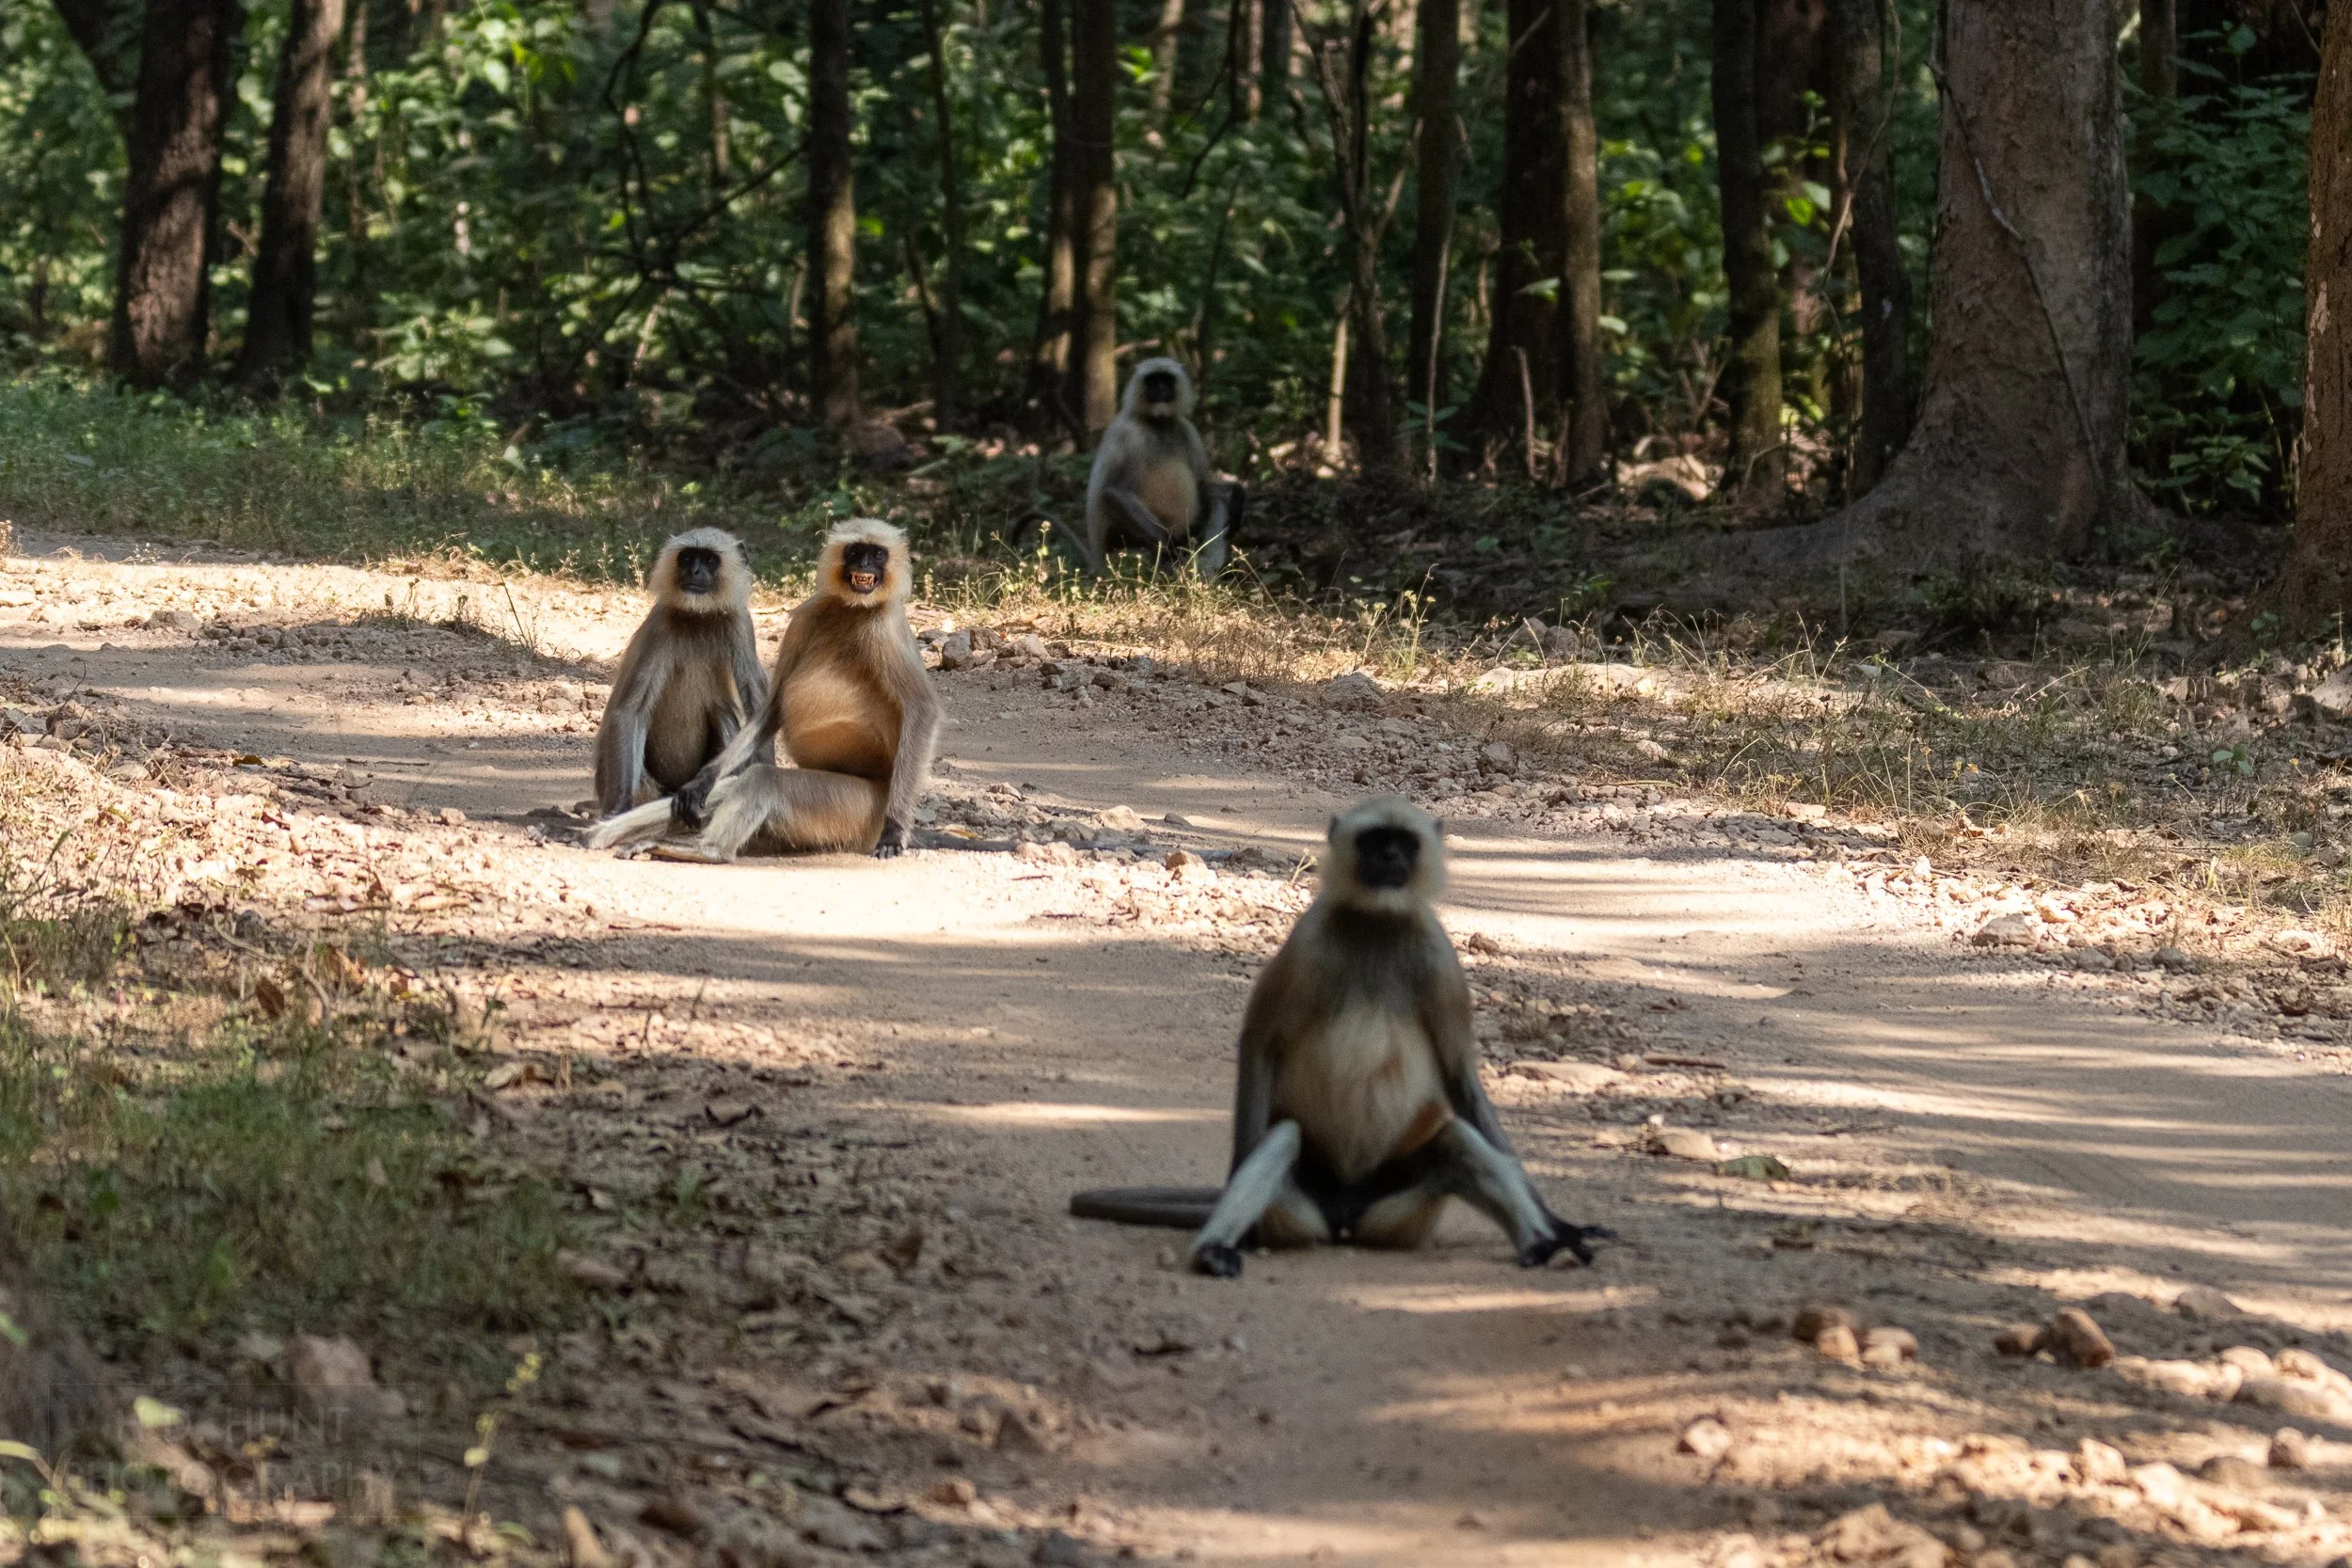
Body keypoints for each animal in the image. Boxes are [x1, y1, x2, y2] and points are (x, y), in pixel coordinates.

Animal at [591, 528, 769, 819]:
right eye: (687, 558)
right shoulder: (660, 624)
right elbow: (629, 711)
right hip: (646, 786)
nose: (694, 571)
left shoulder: (741, 622)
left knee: (721, 712)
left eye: (709, 560)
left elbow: (756, 704)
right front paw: (619, 807)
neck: (698, 616)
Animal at [1069, 797, 1609, 1278]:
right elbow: (1259, 1041)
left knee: (1456, 1138)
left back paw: (1542, 1244)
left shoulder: (1438, 956)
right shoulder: (1307, 941)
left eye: (1404, 844)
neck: (1377, 921)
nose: (1388, 858)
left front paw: (1561, 1223)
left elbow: (1461, 1077)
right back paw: (1217, 1248)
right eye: (1374, 841)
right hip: (1302, 1209)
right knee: (1283, 1138)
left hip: (1395, 1215)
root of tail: (1346, 1218)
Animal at [1082, 356, 1245, 578]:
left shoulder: (1187, 430)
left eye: (1166, 380)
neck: (1157, 423)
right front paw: (1171, 546)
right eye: (1152, 381)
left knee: (1216, 500)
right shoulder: (1126, 434)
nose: (1160, 389)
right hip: (1116, 541)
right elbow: (1112, 491)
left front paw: (1237, 493)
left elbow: (1201, 485)